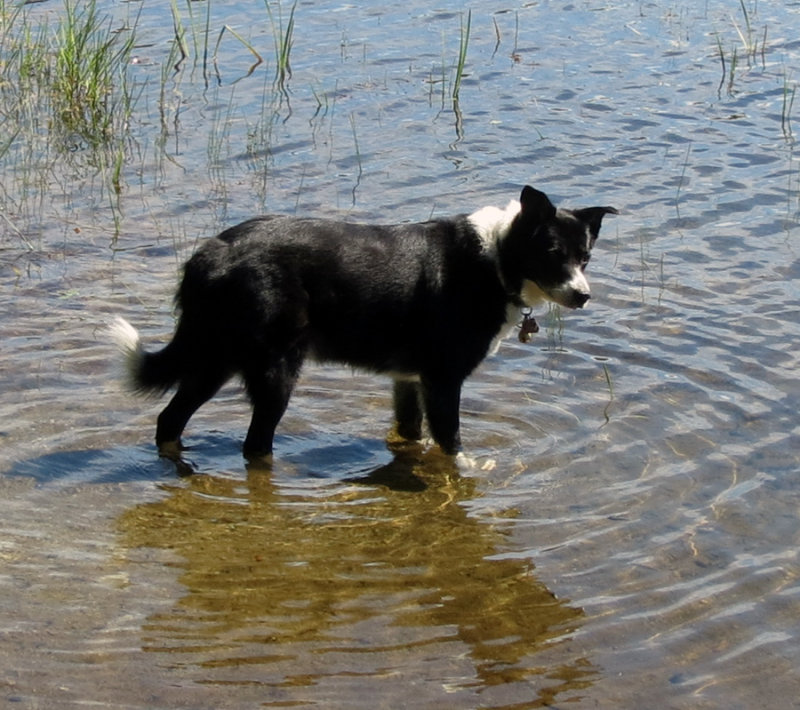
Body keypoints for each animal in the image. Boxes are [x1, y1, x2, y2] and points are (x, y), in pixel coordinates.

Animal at [109, 186, 616, 458]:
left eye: (585, 258)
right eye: (552, 254)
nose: (583, 296)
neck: (494, 258)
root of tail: (213, 252)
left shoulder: (408, 381)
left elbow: (411, 436)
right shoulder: (443, 380)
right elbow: (452, 444)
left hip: (215, 359)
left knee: (169, 420)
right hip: (274, 369)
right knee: (253, 444)